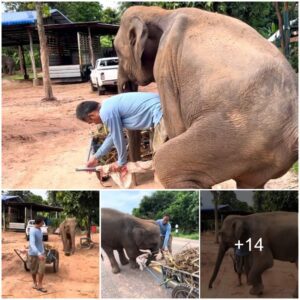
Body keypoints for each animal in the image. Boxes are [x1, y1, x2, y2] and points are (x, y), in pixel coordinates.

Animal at [115, 5, 298, 188]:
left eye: (117, 52)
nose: (132, 180)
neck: (160, 13)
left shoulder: (164, 65)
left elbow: (176, 127)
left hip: (240, 138)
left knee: (167, 164)